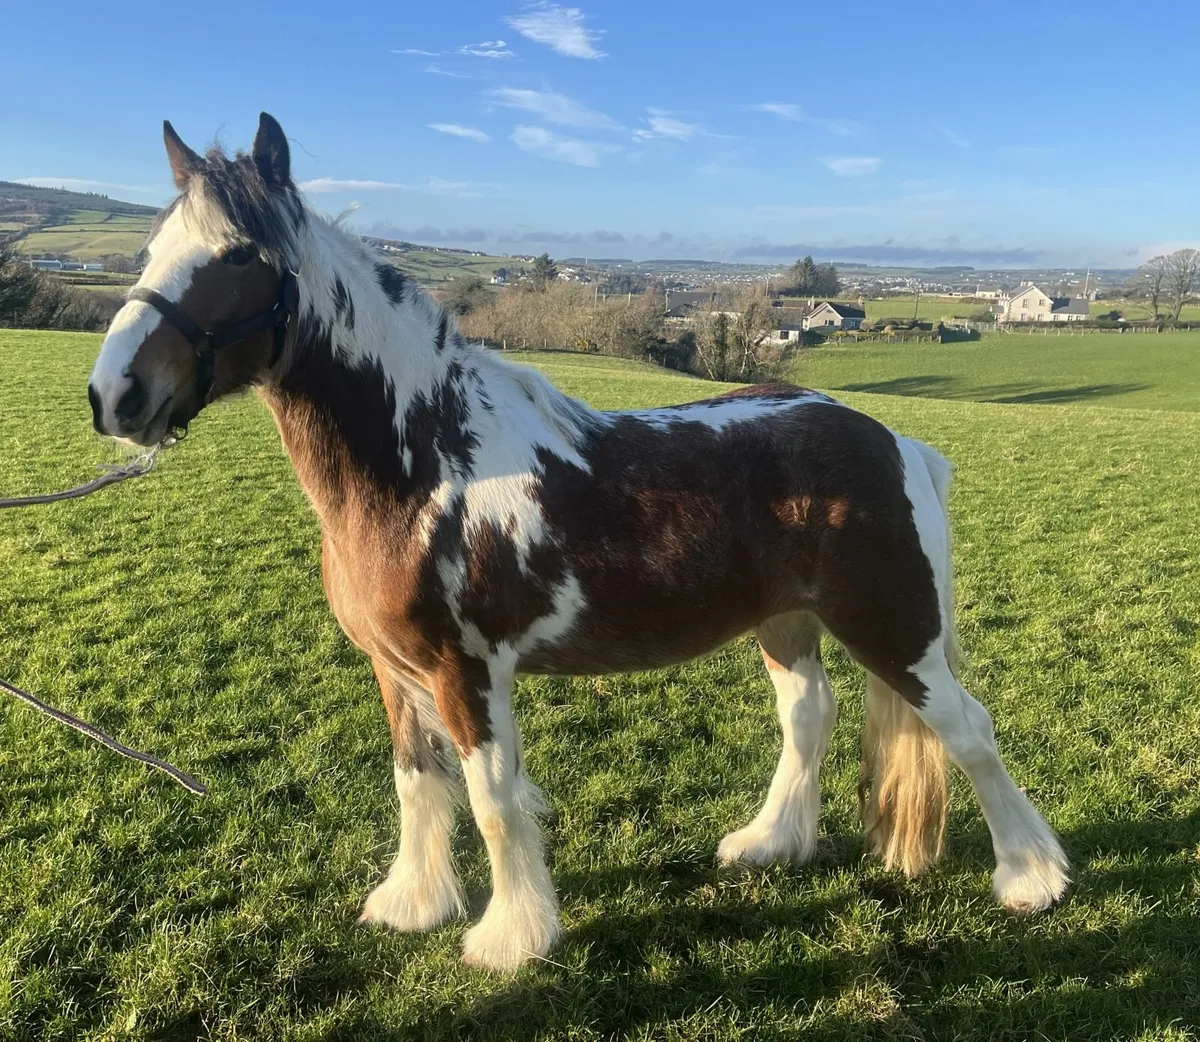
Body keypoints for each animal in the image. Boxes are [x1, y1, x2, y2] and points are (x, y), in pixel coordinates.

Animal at [87, 113, 1069, 971]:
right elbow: (417, 784)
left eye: (239, 257)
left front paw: (510, 939)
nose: (115, 397)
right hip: (786, 622)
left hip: (893, 628)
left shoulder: (467, 673)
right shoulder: (395, 671)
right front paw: (413, 905)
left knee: (968, 729)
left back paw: (1030, 879)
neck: (424, 461)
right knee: (808, 716)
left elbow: (490, 801)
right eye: (149, 250)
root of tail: (893, 440)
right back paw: (769, 843)